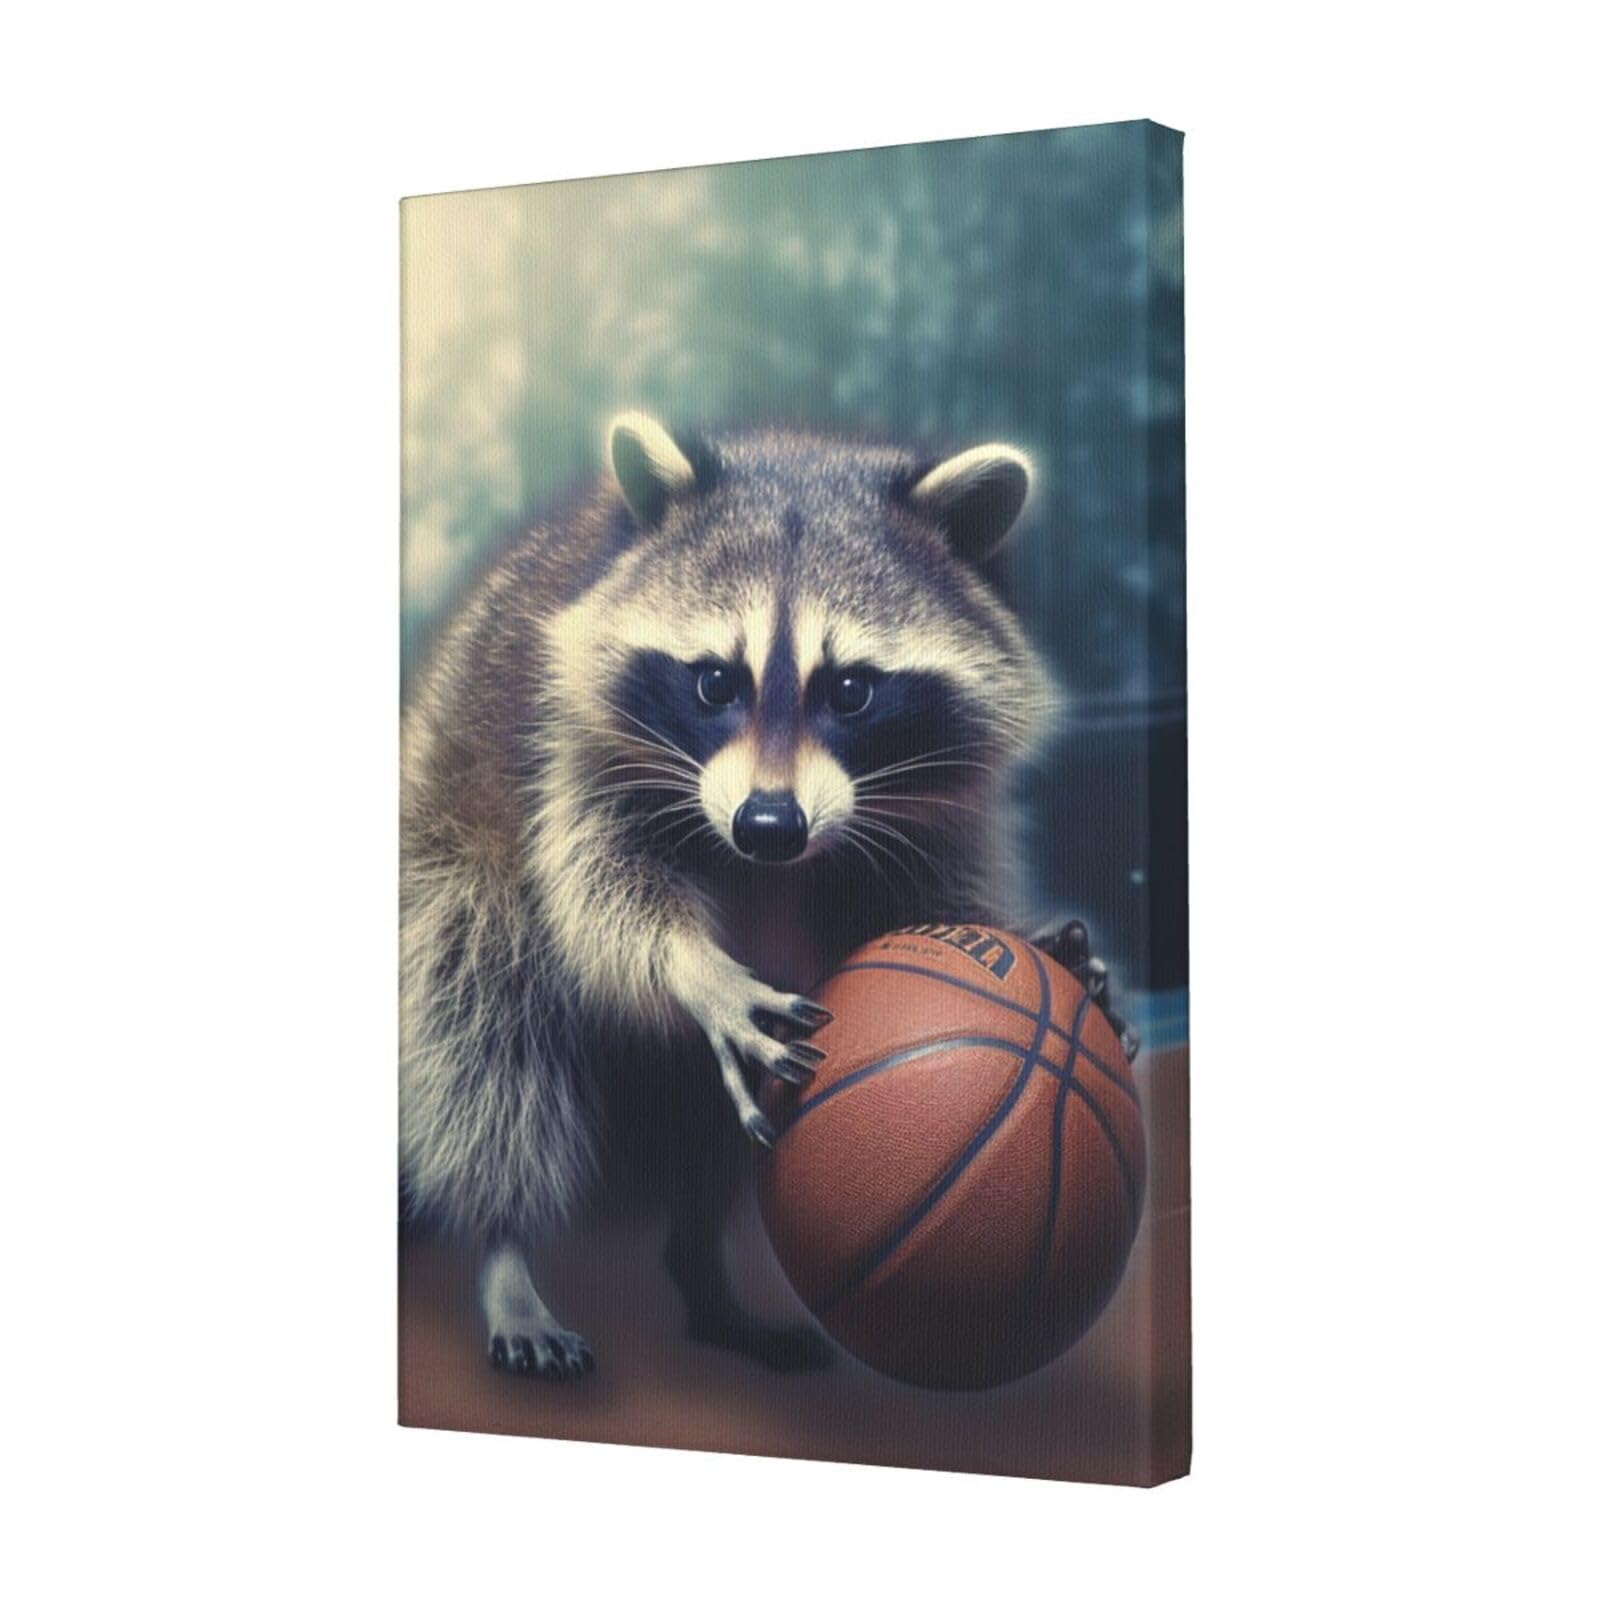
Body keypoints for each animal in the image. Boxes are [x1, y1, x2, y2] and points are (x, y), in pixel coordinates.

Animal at [400, 412, 1133, 1378]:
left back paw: (704, 1274)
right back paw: (506, 1248)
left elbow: (922, 896)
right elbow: (600, 891)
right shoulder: (571, 748)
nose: (769, 825)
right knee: (487, 1030)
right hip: (445, 857)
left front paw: (1033, 943)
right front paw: (693, 968)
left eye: (852, 691)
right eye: (716, 681)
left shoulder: (933, 809)